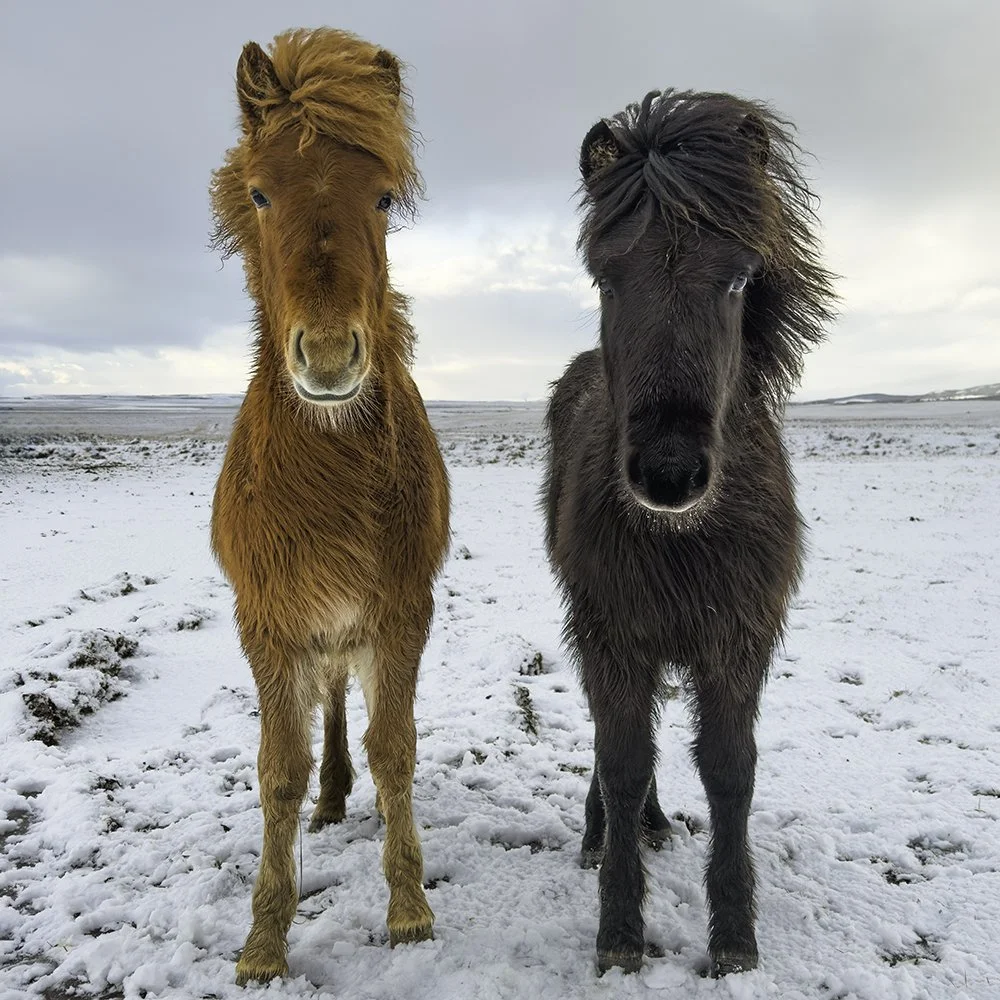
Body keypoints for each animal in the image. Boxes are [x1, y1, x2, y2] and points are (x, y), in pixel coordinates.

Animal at [208, 29, 449, 985]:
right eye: (260, 191)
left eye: (381, 197)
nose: (330, 356)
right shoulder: (268, 624)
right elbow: (280, 771)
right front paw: (264, 940)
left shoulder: (401, 611)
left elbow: (395, 748)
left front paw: (409, 906)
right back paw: (333, 799)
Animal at [542, 90, 836, 977]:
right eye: (606, 277)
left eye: (738, 276)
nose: (669, 473)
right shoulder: (612, 633)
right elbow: (623, 757)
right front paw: (619, 934)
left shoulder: (737, 638)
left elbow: (729, 770)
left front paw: (735, 937)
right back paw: (608, 833)